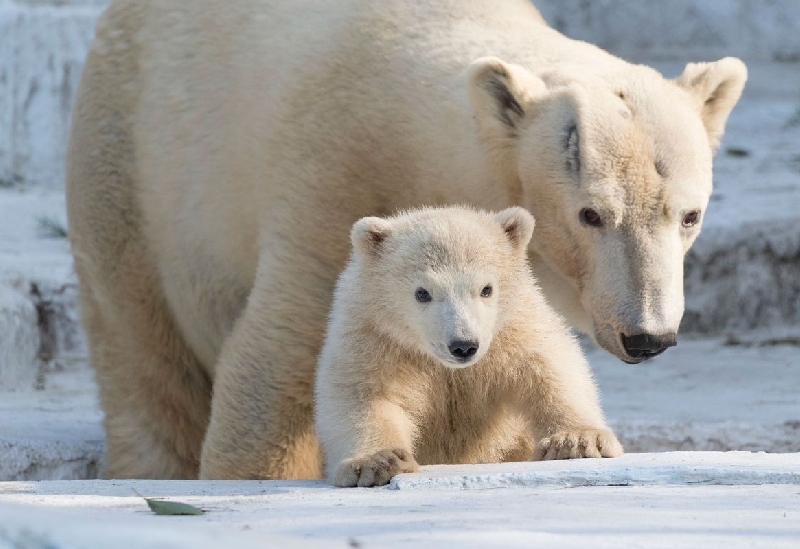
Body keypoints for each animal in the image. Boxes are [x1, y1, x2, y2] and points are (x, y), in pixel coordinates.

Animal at [67, 0, 744, 478]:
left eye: (689, 216)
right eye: (591, 215)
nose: (648, 336)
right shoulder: (336, 175)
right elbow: (286, 360)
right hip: (133, 163)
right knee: (141, 342)